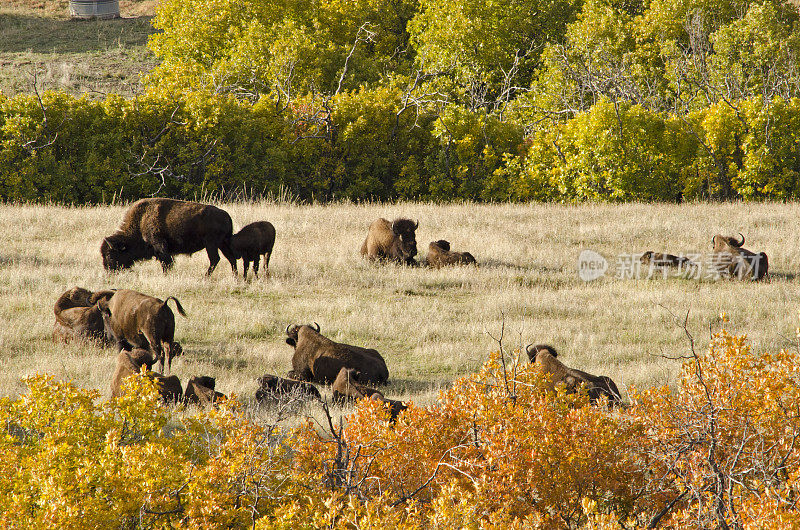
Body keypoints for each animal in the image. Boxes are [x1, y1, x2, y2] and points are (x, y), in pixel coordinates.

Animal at [101, 196, 236, 274]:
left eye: (110, 255)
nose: (108, 270)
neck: (141, 220)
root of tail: (227, 215)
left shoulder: (160, 246)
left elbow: (166, 263)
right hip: (222, 243)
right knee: (231, 258)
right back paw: (235, 278)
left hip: (211, 244)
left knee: (215, 259)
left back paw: (205, 277)